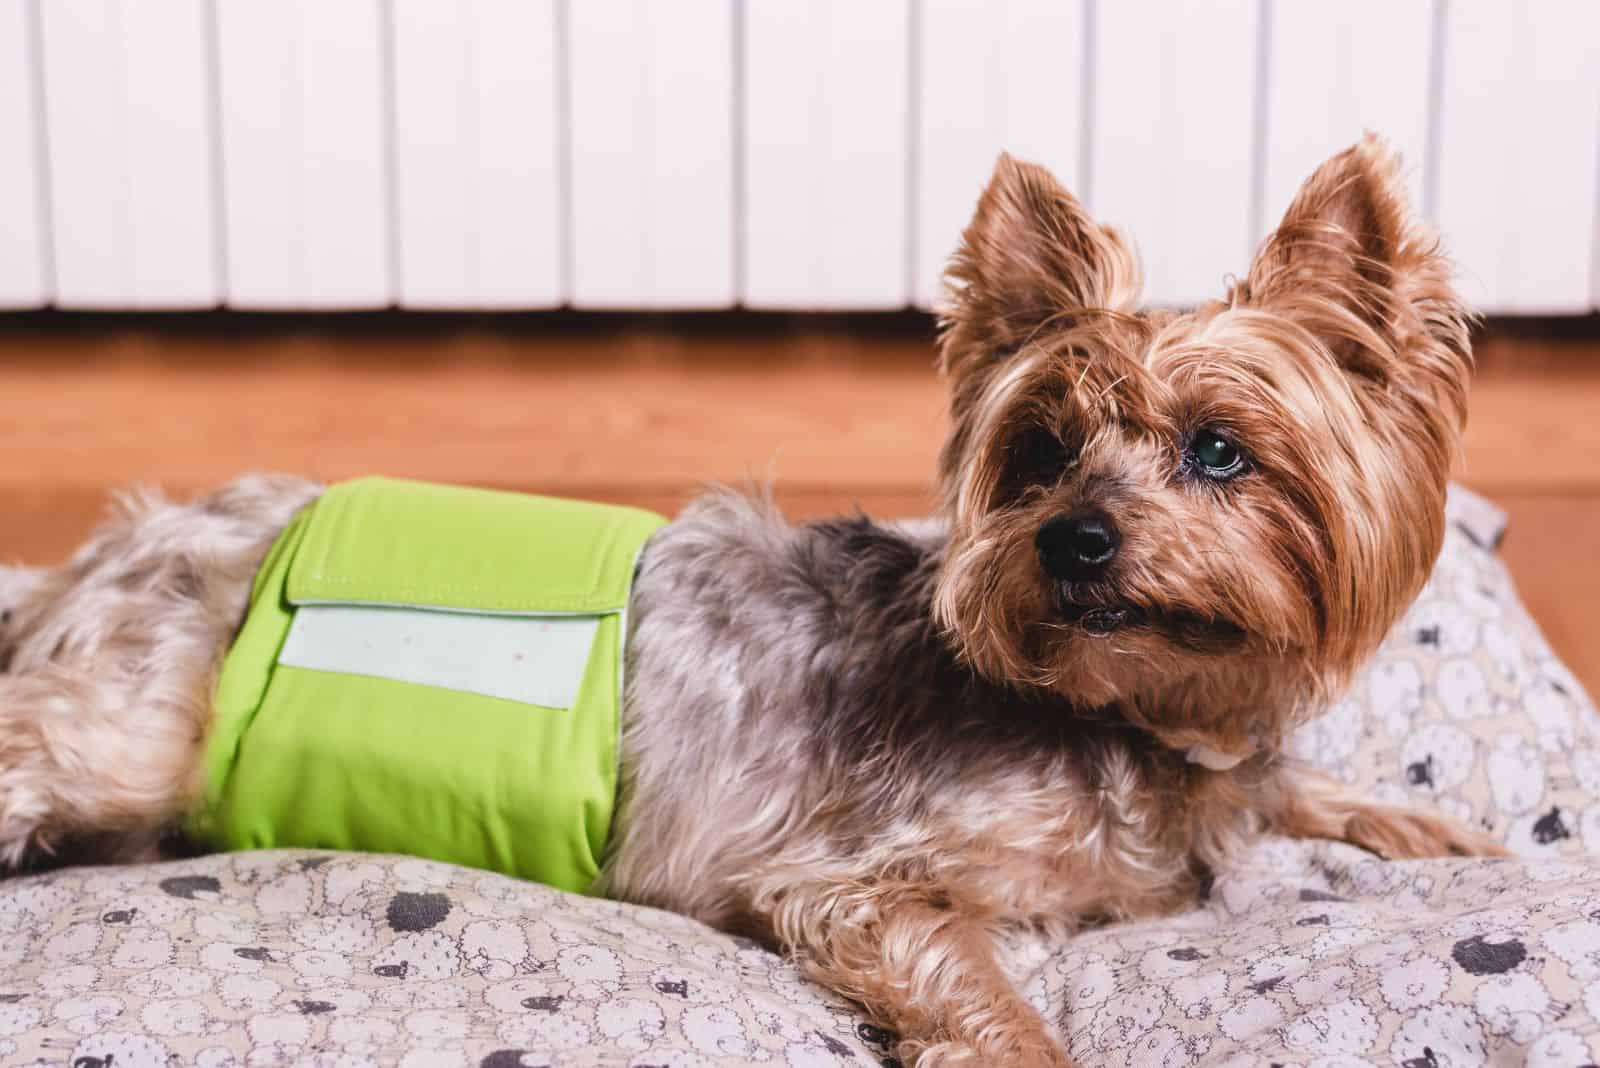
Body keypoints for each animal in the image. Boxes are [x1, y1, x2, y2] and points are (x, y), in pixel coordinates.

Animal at [0, 137, 1497, 1061]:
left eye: (1220, 451)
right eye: (1038, 453)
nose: (1070, 542)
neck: (1130, 715)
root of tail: (116, 542)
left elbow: (1303, 787)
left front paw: (1444, 832)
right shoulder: (849, 877)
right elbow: (968, 969)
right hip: (143, 719)